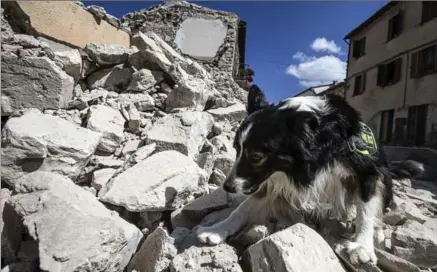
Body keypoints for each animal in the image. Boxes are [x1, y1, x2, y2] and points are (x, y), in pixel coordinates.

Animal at [197, 84, 422, 264]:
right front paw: (217, 229)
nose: (227, 187)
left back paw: (377, 234)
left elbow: (366, 211)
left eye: (255, 156)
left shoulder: (367, 171)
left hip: (384, 176)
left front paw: (362, 246)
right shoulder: (272, 181)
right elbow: (243, 208)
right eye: (236, 149)